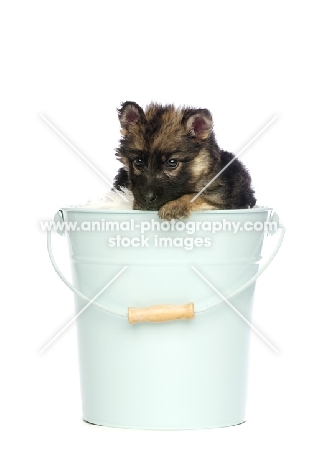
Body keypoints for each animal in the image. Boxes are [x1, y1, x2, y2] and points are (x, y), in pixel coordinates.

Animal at [113, 101, 258, 218]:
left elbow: (197, 196)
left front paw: (174, 205)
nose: (147, 199)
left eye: (172, 163)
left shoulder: (224, 198)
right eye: (138, 161)